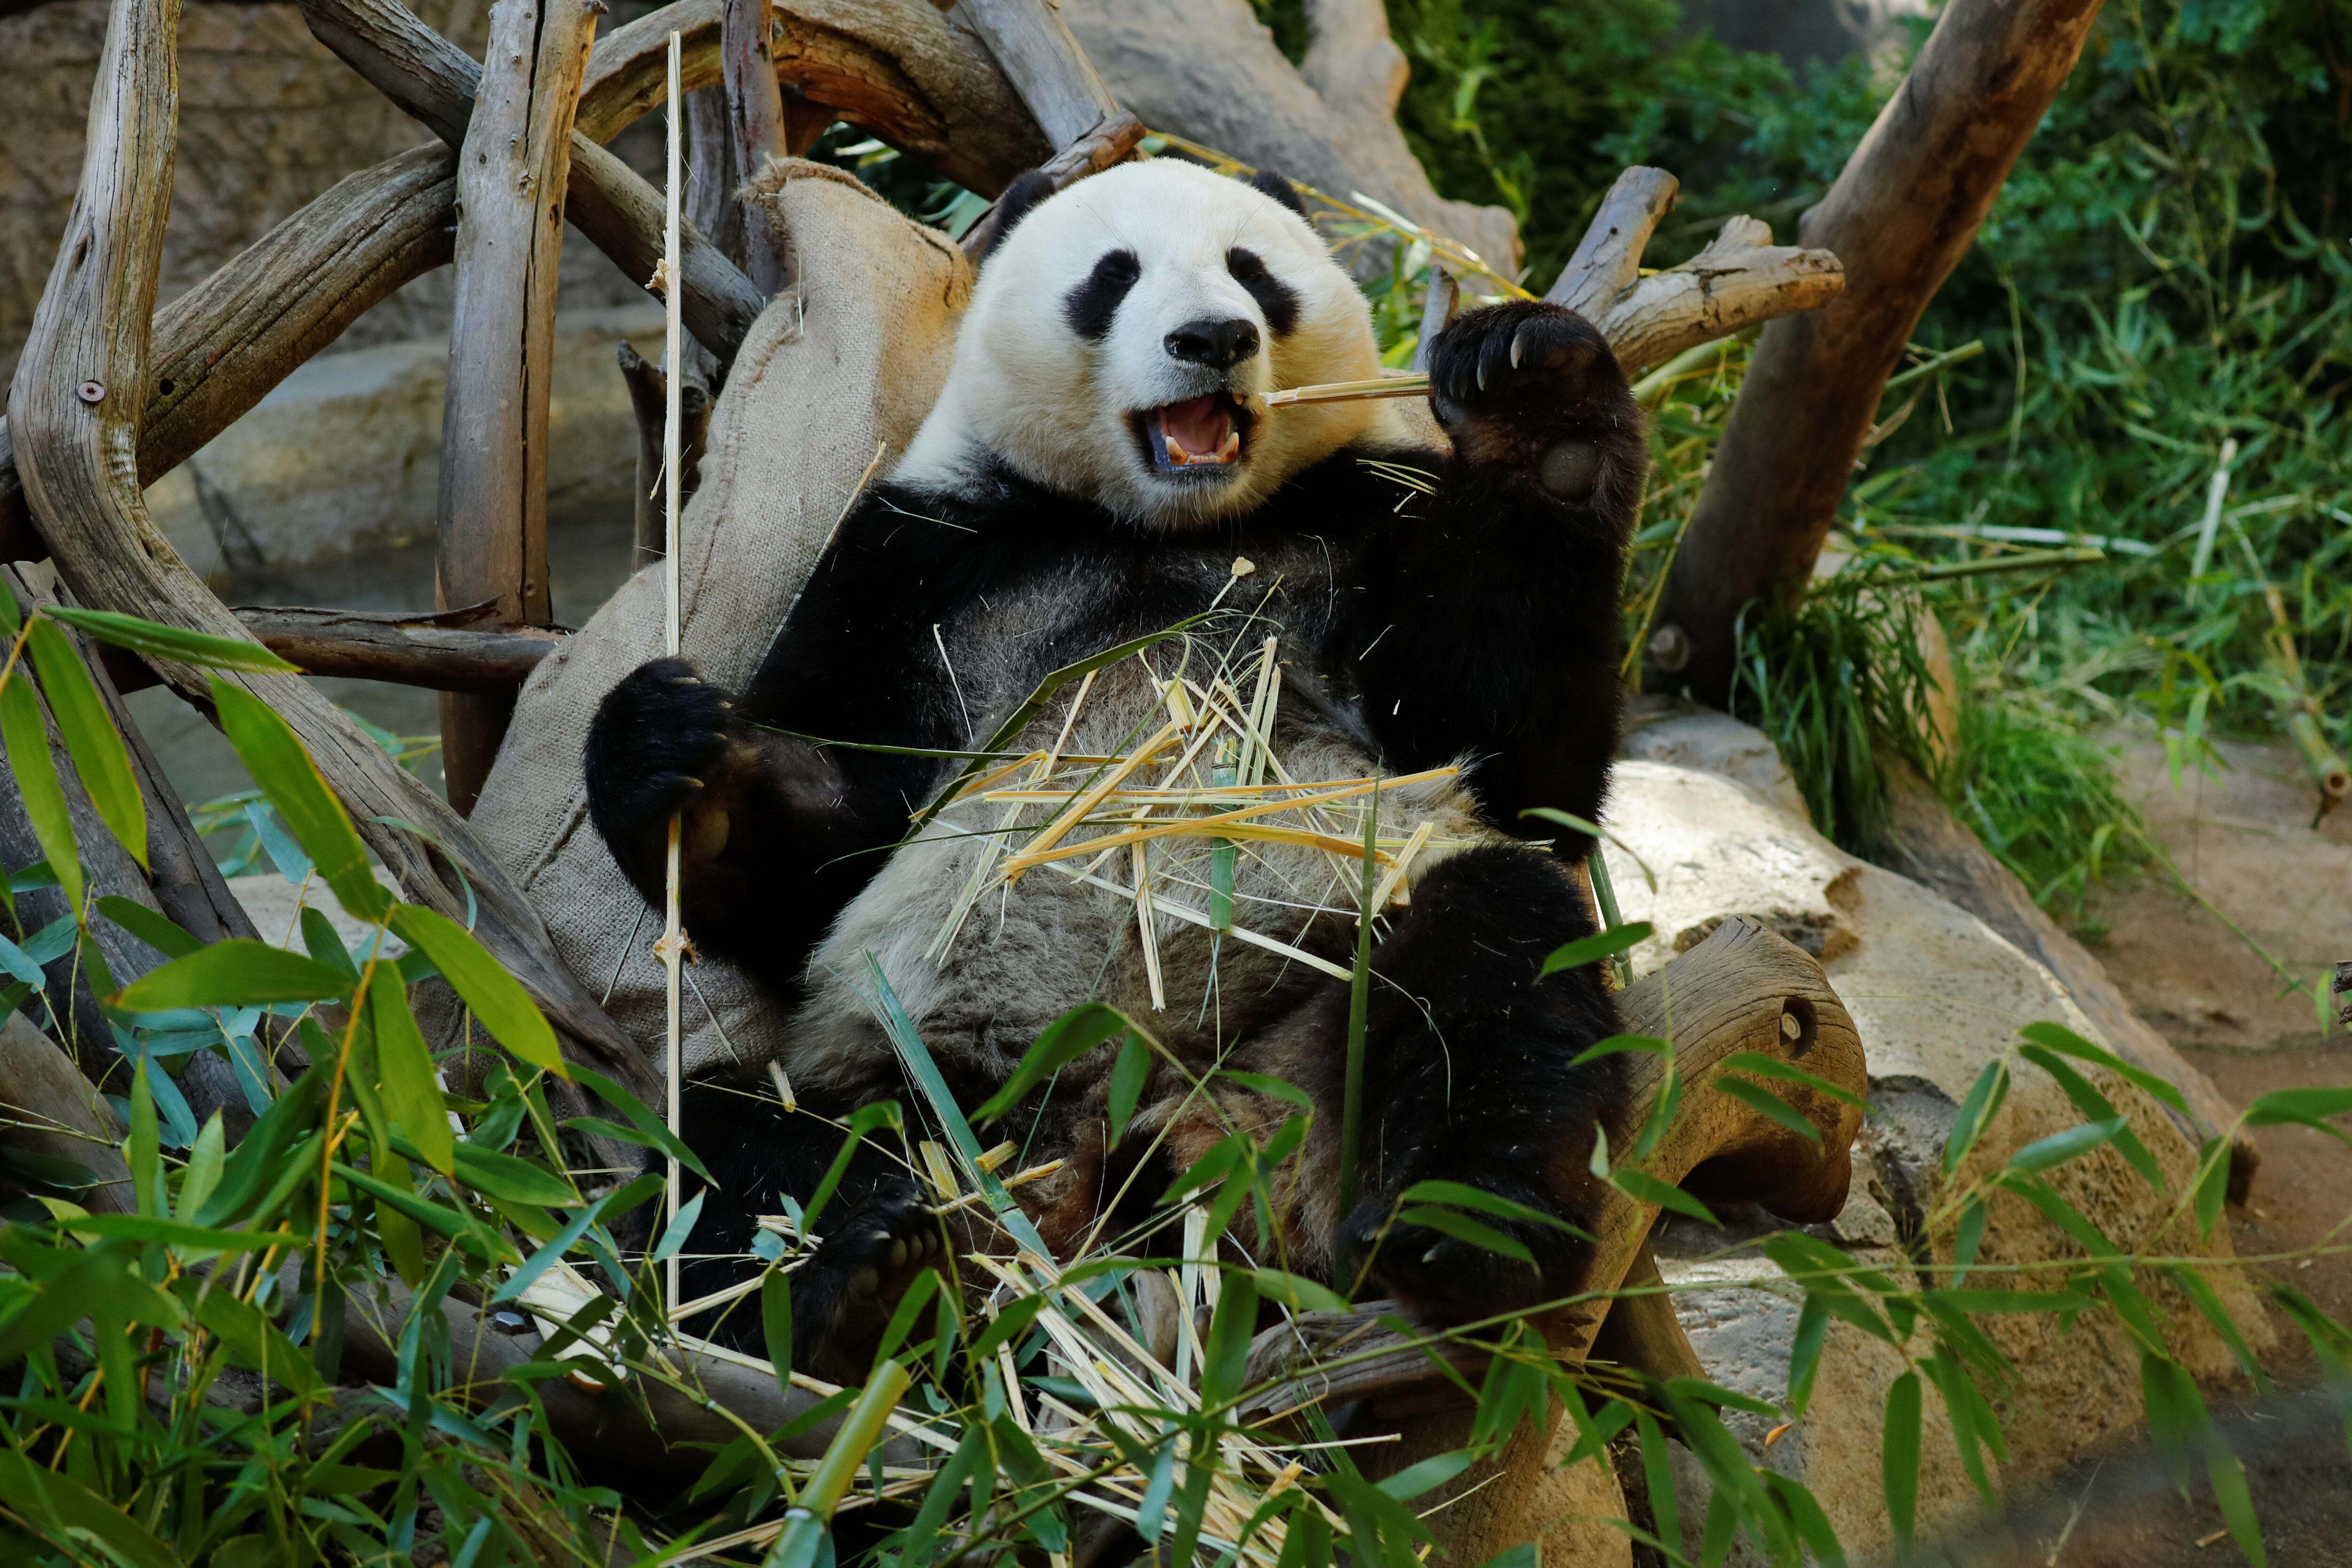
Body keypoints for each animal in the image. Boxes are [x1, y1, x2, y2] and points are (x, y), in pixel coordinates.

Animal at [584, 157, 1647, 1379]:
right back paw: (853, 1288)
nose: (1213, 338)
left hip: (1308, 1010)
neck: (1162, 527)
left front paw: (1540, 410)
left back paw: (1459, 1240)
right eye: (1112, 276)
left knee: (1495, 957)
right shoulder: (913, 559)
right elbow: (822, 859)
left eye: (1252, 270)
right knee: (722, 1142)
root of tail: (1109, 1145)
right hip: (900, 1072)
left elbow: (1512, 763)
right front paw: (680, 762)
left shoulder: (1365, 515)